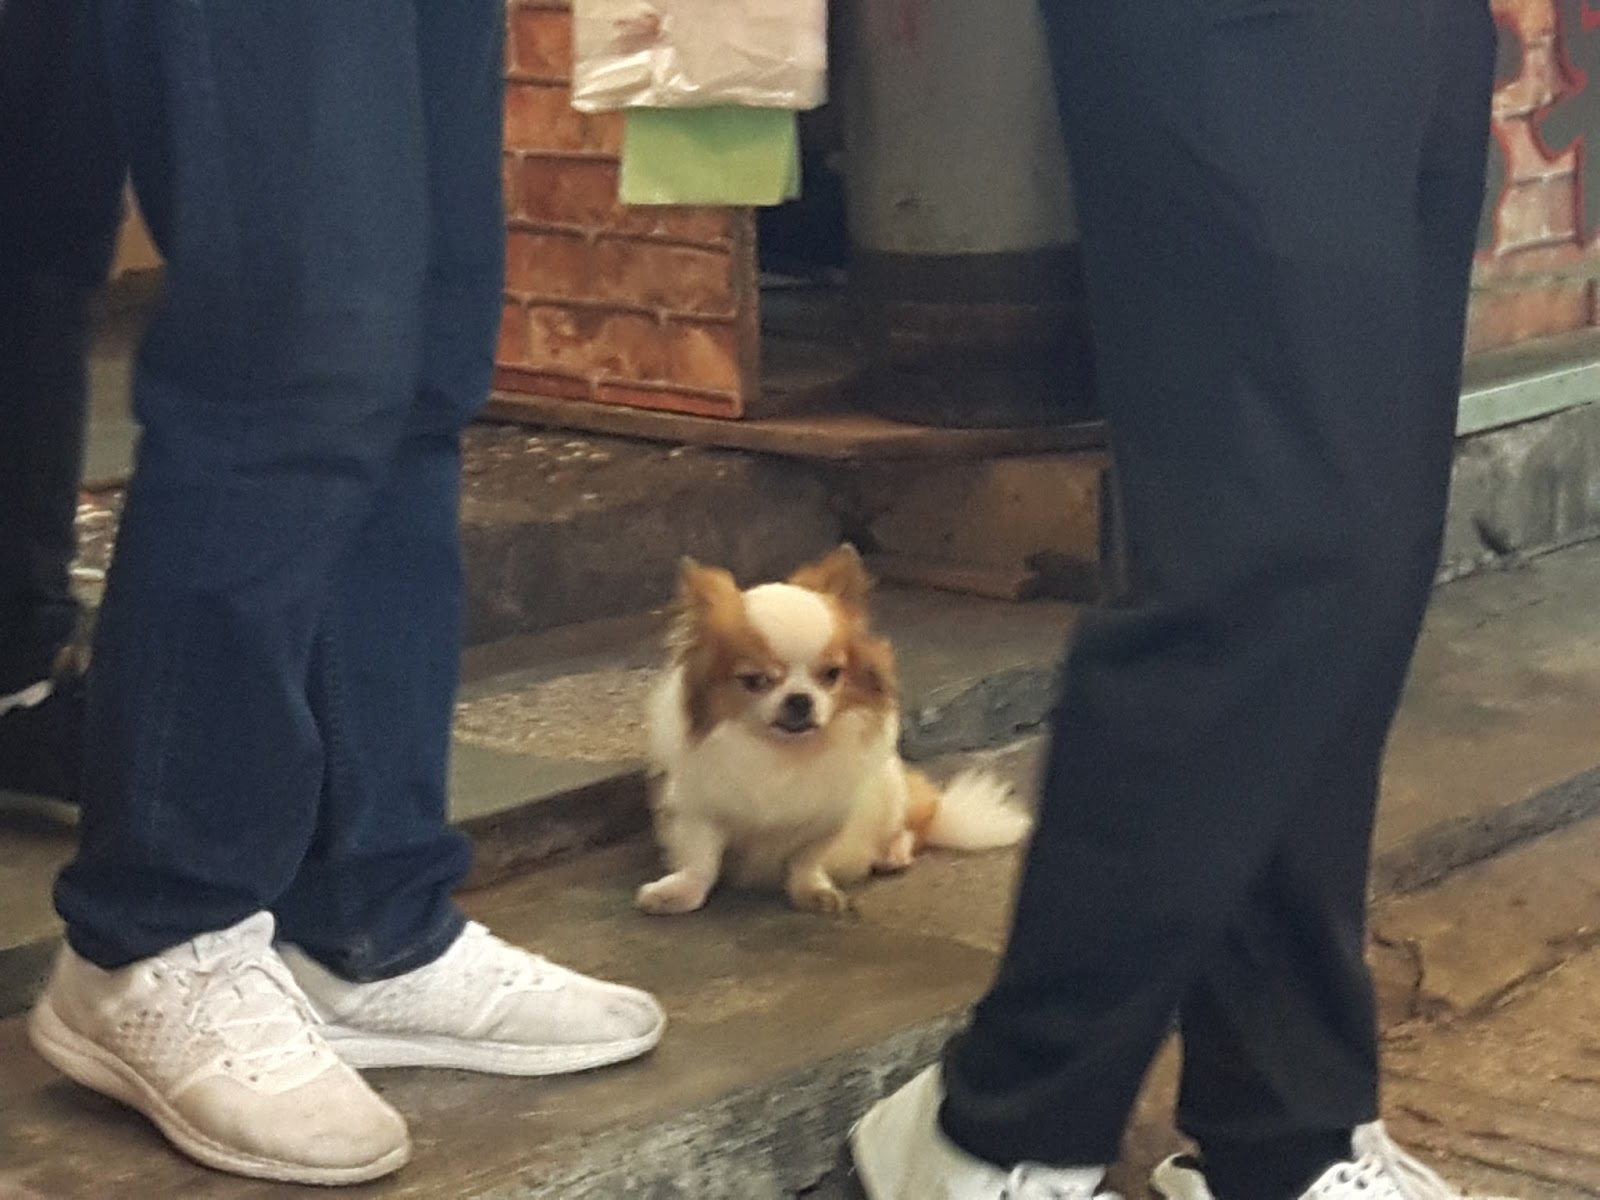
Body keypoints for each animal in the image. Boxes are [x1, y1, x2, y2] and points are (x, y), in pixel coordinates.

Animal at [636, 544, 1032, 916]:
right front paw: (679, 893)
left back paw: (893, 852)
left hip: (890, 789)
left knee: (913, 828)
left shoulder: (829, 817)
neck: (780, 752)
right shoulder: (699, 809)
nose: (800, 700)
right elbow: (701, 860)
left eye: (831, 674)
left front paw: (812, 891)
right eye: (755, 680)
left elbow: (806, 860)